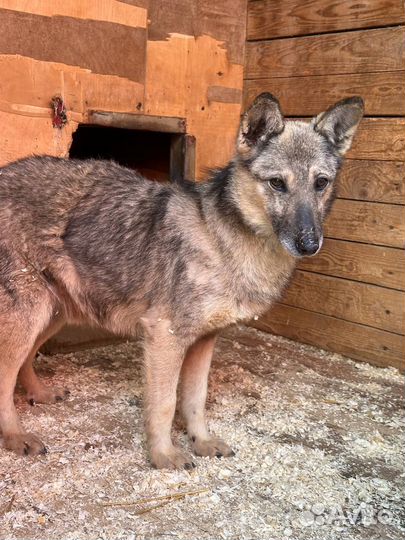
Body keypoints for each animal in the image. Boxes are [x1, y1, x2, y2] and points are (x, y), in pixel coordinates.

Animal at [0, 93, 362, 468]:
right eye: (277, 183)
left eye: (320, 183)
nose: (309, 244)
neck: (221, 241)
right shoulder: (165, 337)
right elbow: (164, 404)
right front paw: (164, 456)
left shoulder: (204, 341)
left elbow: (194, 400)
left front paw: (201, 442)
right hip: (30, 317)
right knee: (3, 377)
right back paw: (15, 436)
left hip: (51, 315)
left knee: (23, 364)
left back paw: (40, 394)